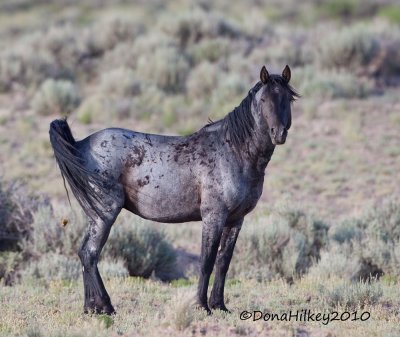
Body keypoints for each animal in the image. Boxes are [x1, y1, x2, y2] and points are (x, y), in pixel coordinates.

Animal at [49, 66, 296, 316]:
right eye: (263, 99)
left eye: (288, 98)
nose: (279, 134)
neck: (234, 150)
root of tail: (81, 144)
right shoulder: (213, 217)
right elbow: (206, 262)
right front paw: (202, 306)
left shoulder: (236, 220)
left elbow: (223, 262)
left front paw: (219, 305)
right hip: (104, 215)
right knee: (90, 254)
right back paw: (106, 307)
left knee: (85, 254)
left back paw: (92, 307)